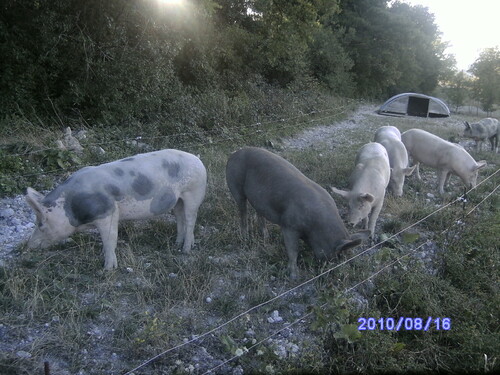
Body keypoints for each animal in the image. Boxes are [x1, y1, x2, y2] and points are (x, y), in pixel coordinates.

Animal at [26, 150, 206, 270]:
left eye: (40, 224)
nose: (29, 245)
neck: (71, 207)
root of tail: (197, 159)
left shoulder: (109, 212)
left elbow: (109, 239)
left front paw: (108, 269)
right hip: (178, 201)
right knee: (180, 218)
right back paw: (177, 244)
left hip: (194, 192)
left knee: (191, 219)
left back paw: (185, 250)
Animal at [225, 147, 370, 280]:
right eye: (337, 256)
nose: (335, 273)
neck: (316, 228)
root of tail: (234, 154)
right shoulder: (289, 226)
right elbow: (293, 251)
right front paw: (294, 277)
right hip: (235, 185)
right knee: (242, 211)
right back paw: (245, 238)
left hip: (258, 200)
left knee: (259, 213)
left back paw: (265, 237)